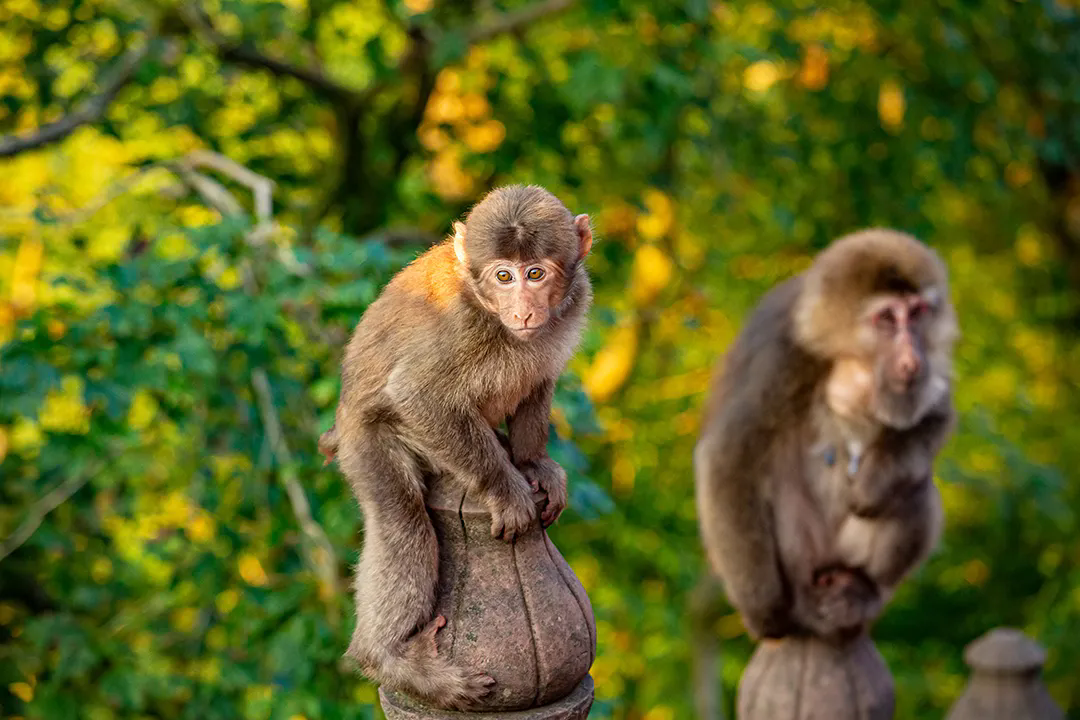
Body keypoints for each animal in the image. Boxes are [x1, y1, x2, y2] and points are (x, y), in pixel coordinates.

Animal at [315, 184, 596, 708]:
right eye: (503, 276)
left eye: (535, 273)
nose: (523, 309)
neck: (486, 306)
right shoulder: (458, 326)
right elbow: (417, 394)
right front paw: (505, 488)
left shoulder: (575, 301)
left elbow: (539, 376)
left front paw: (534, 463)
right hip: (368, 443)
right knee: (405, 525)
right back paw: (391, 661)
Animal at [691, 229, 954, 643]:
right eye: (886, 318)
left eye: (916, 313)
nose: (911, 357)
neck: (850, 360)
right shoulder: (782, 352)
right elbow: (728, 458)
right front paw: (765, 612)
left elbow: (935, 416)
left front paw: (871, 487)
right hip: (803, 555)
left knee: (915, 486)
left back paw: (860, 586)